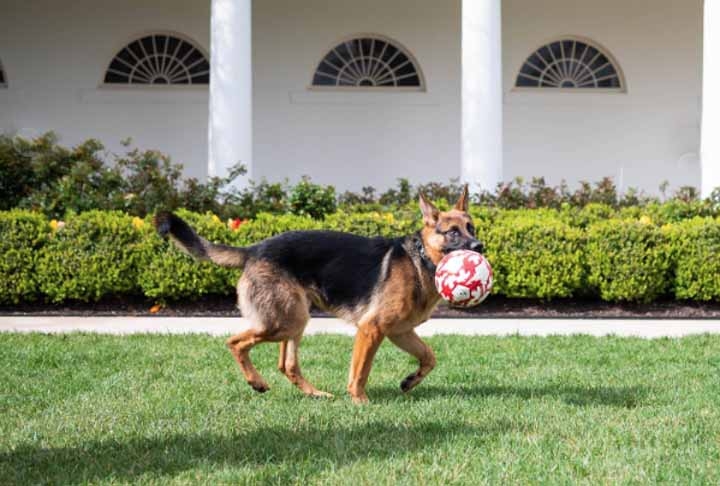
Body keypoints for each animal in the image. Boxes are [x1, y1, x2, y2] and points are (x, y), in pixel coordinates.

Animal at [156, 186, 484, 402]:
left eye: (472, 228)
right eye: (453, 232)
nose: (479, 247)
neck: (421, 260)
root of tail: (254, 249)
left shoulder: (399, 332)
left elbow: (429, 357)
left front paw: (409, 382)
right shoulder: (372, 329)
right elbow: (360, 372)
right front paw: (360, 402)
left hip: (295, 318)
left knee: (287, 365)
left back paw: (315, 394)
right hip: (284, 321)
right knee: (235, 343)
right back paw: (256, 382)